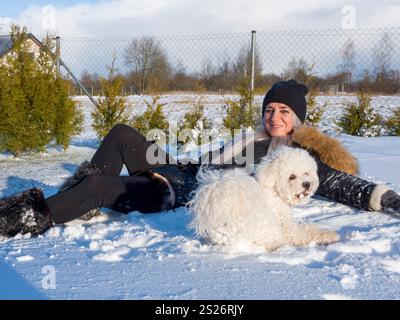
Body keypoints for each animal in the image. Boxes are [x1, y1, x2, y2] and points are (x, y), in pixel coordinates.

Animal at [189, 146, 340, 252]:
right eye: (292, 177)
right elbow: (307, 232)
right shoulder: (287, 228)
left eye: (306, 173)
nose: (307, 184)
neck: (274, 191)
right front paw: (330, 235)